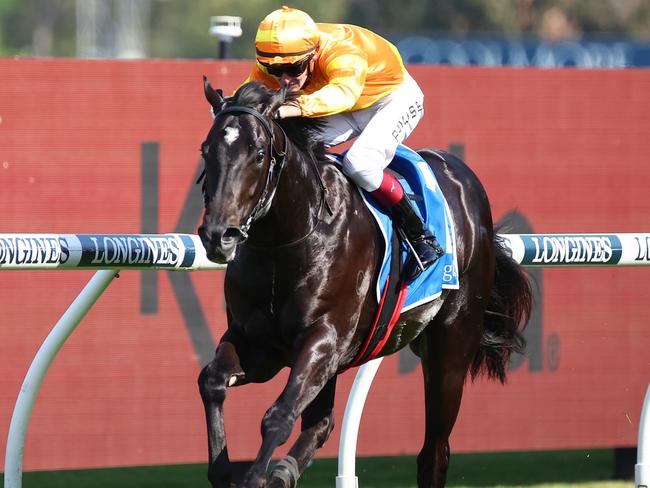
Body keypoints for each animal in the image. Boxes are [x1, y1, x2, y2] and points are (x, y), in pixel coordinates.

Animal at [197, 81, 532, 488]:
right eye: (206, 149)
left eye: (259, 154)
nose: (218, 235)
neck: (290, 240)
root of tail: (465, 180)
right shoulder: (260, 344)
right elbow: (213, 381)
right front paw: (225, 470)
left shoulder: (324, 340)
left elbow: (278, 415)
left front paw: (255, 477)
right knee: (321, 423)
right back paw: (285, 471)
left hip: (451, 349)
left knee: (434, 453)